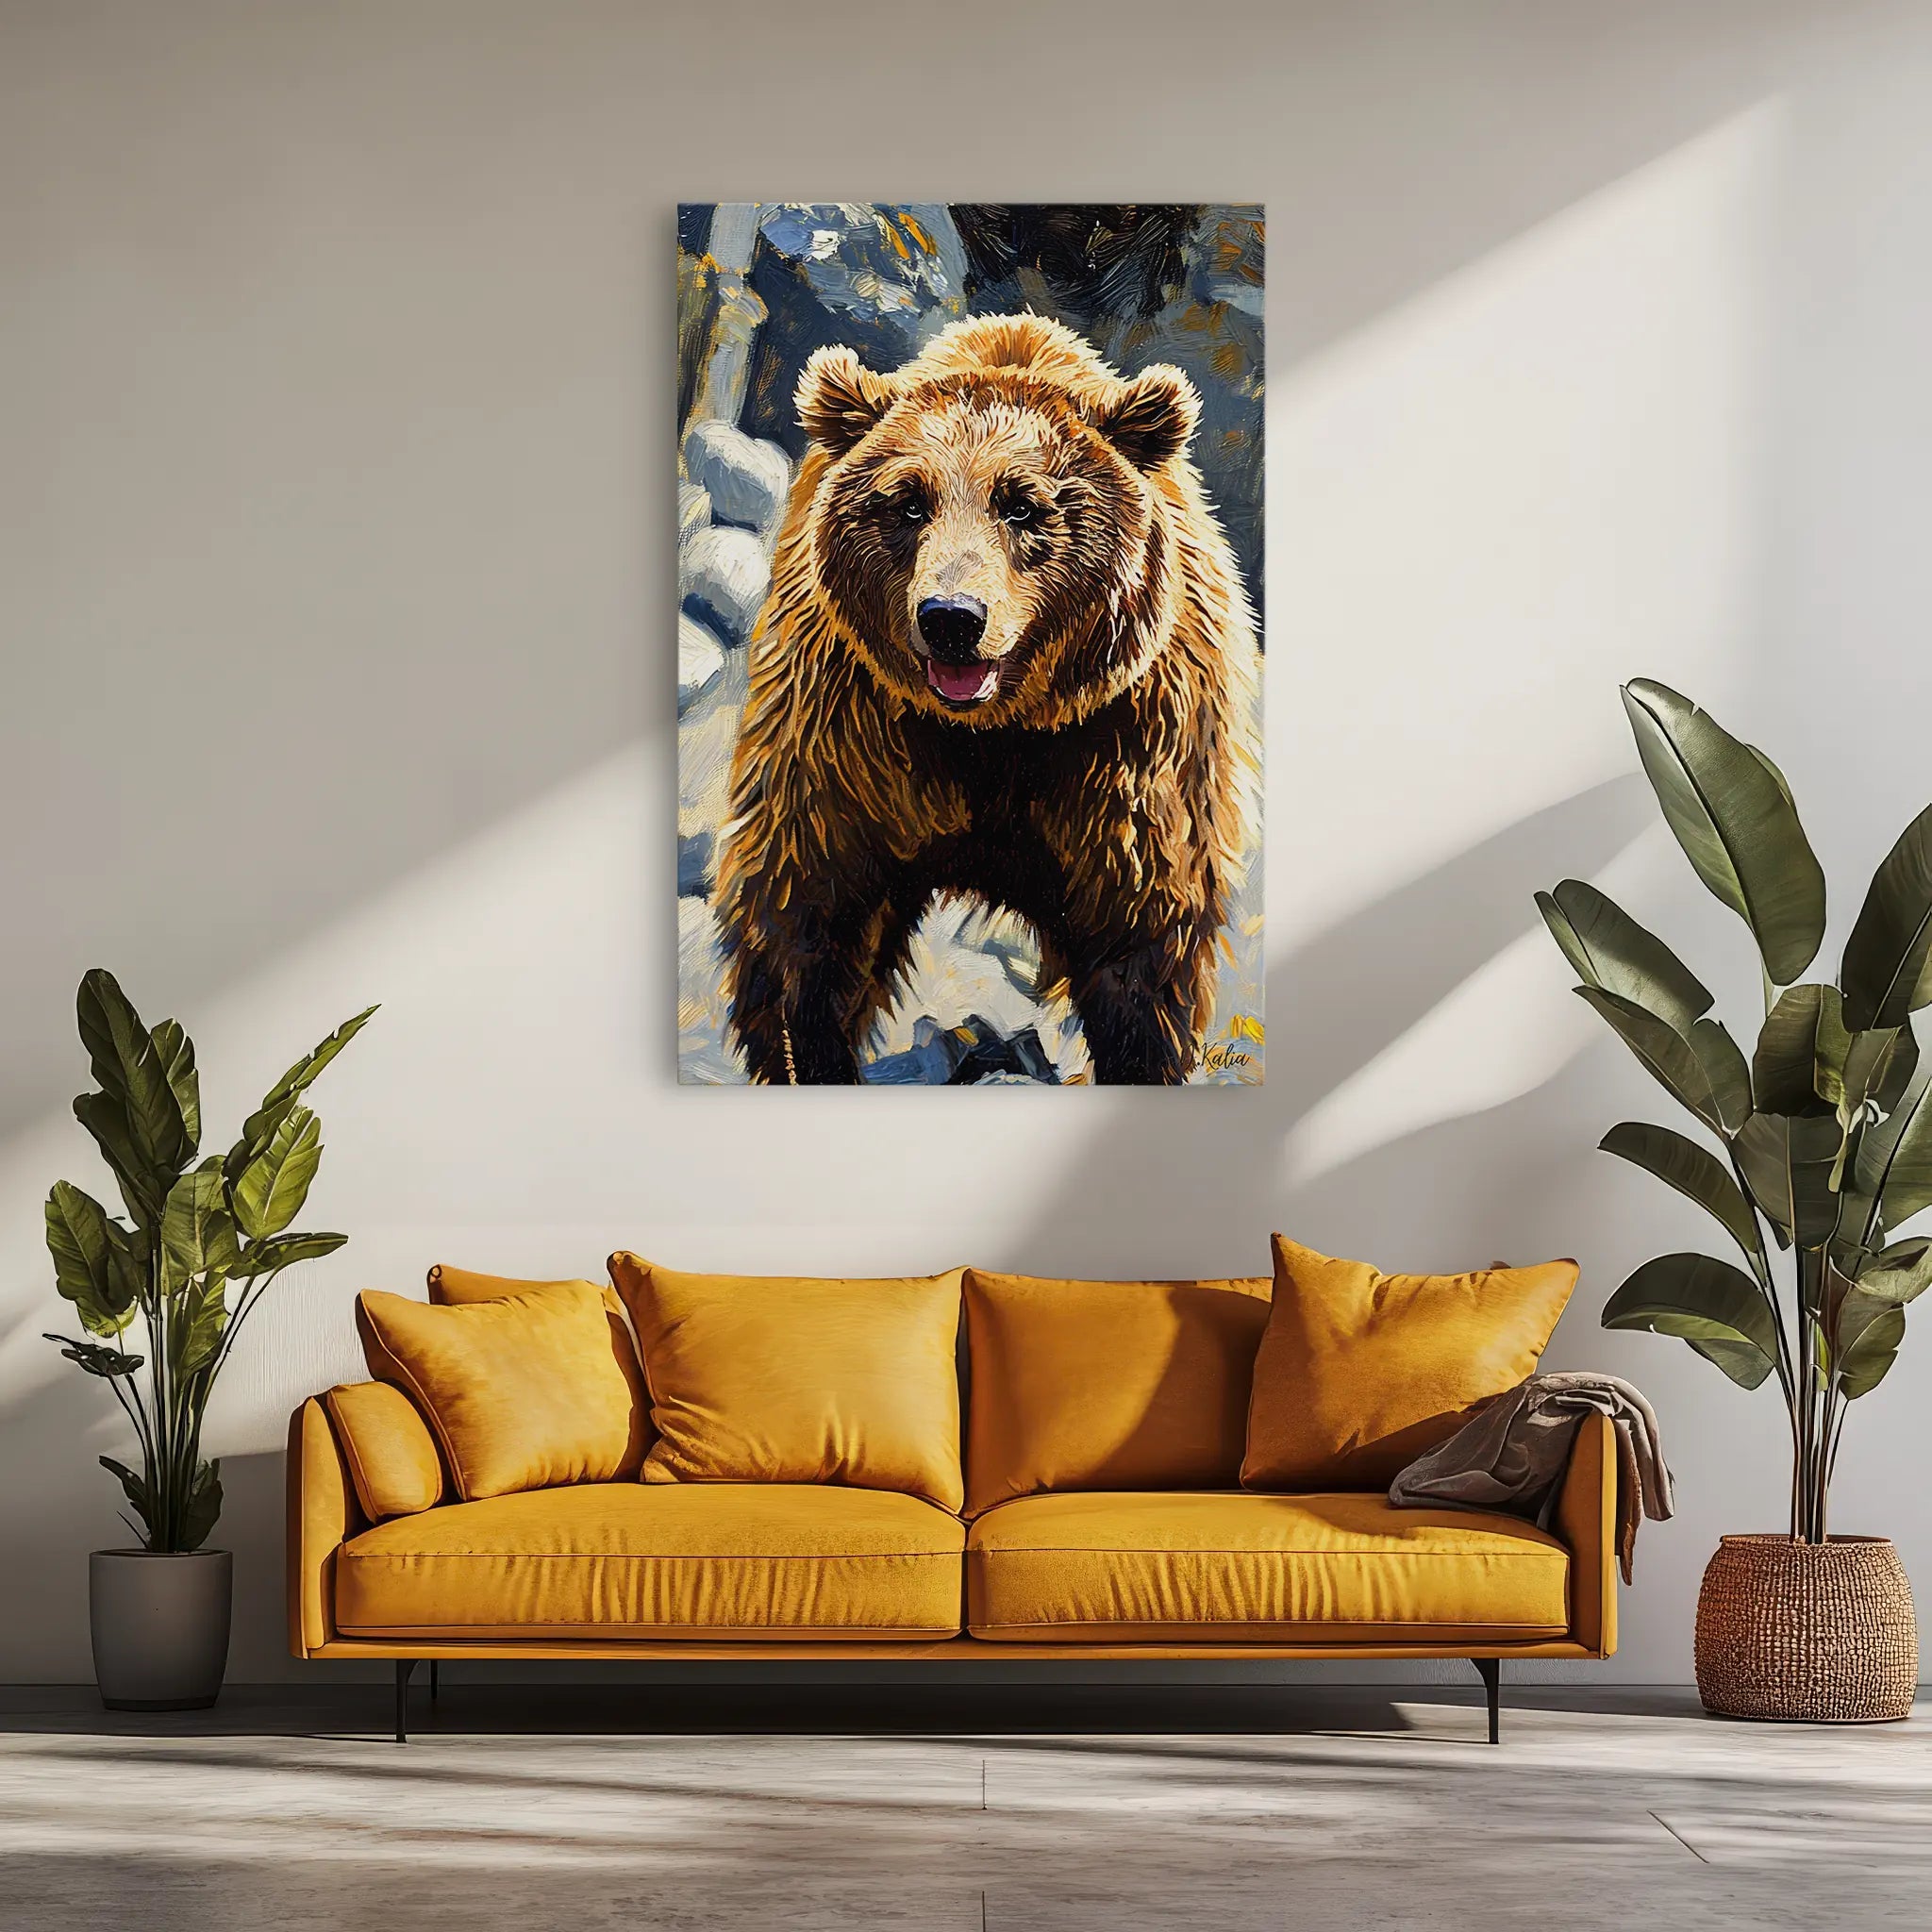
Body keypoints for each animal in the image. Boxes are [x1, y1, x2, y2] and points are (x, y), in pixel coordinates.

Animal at [712, 311, 1259, 1085]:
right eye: (909, 501)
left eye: (1024, 505)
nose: (951, 617)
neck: (998, 726)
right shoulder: (850, 731)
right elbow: (808, 910)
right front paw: (811, 1053)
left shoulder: (1124, 746)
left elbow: (1140, 947)